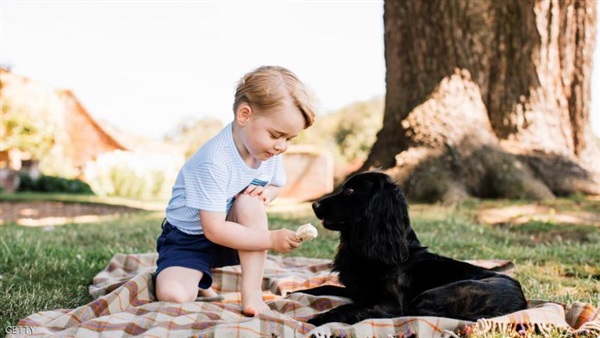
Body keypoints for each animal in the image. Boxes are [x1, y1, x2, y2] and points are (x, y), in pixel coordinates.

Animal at [298, 172, 528, 324]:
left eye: (350, 190)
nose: (314, 205)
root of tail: (521, 303)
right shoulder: (358, 291)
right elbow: (322, 288)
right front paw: (296, 292)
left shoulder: (389, 302)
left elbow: (349, 306)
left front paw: (317, 319)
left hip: (433, 294)